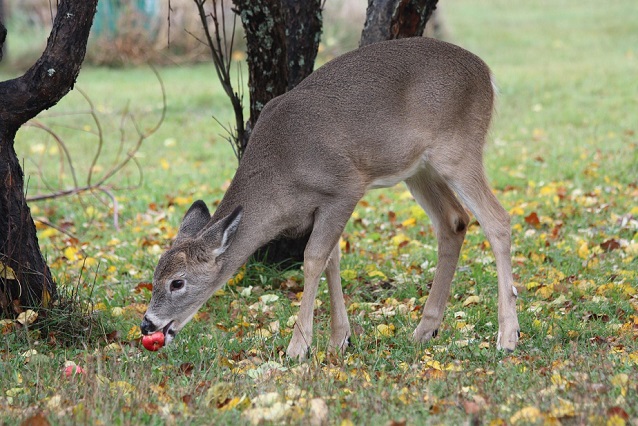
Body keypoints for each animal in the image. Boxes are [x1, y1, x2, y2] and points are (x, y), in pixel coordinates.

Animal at [140, 36, 520, 360]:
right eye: (155, 275)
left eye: (178, 282)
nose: (147, 324)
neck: (282, 179)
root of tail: (487, 74)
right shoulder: (321, 207)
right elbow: (331, 260)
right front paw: (340, 339)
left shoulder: (345, 186)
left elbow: (312, 259)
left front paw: (298, 347)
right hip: (418, 168)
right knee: (453, 221)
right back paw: (425, 330)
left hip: (458, 148)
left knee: (497, 219)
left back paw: (507, 336)